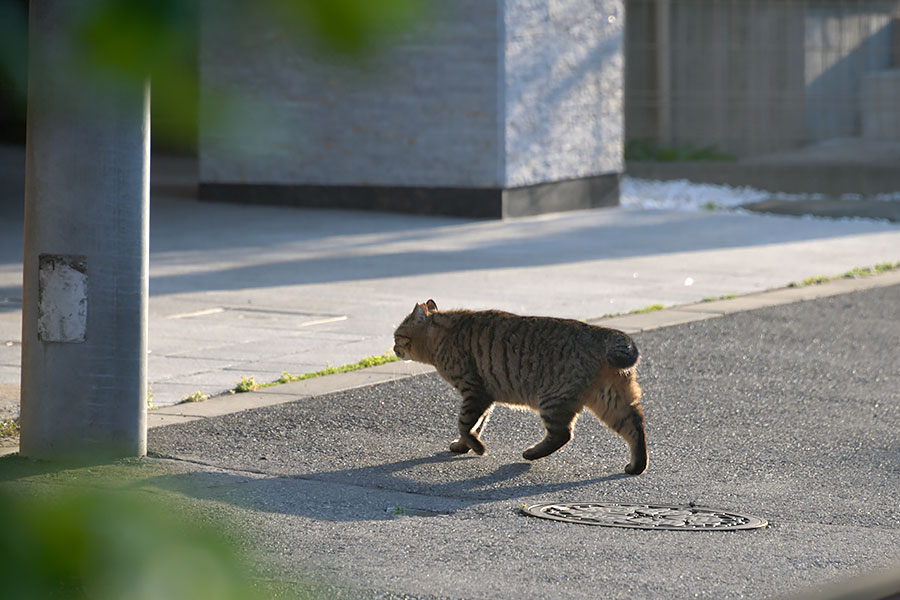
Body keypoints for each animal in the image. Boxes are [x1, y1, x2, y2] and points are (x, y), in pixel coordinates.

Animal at [394, 300, 648, 474]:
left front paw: (476, 447)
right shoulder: (485, 397)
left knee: (563, 434)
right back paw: (637, 466)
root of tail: (600, 332)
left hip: (553, 399)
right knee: (635, 426)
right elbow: (477, 424)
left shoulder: (474, 391)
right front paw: (463, 446)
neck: (442, 336)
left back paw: (531, 453)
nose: (393, 348)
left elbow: (465, 424)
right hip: (611, 399)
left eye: (397, 336)